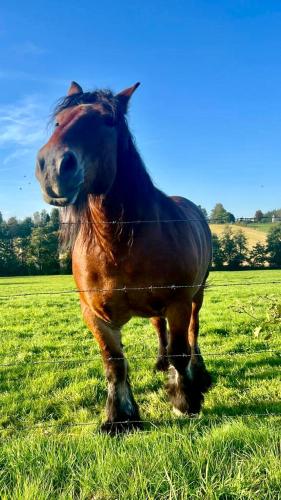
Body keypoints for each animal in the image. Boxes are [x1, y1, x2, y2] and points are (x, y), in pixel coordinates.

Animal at [35, 82, 211, 434]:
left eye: (107, 121)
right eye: (58, 121)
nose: (53, 167)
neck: (116, 245)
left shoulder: (179, 303)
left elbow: (181, 350)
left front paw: (184, 401)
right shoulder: (94, 314)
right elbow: (114, 362)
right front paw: (120, 417)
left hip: (196, 296)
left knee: (193, 332)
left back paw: (197, 373)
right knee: (159, 328)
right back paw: (160, 363)